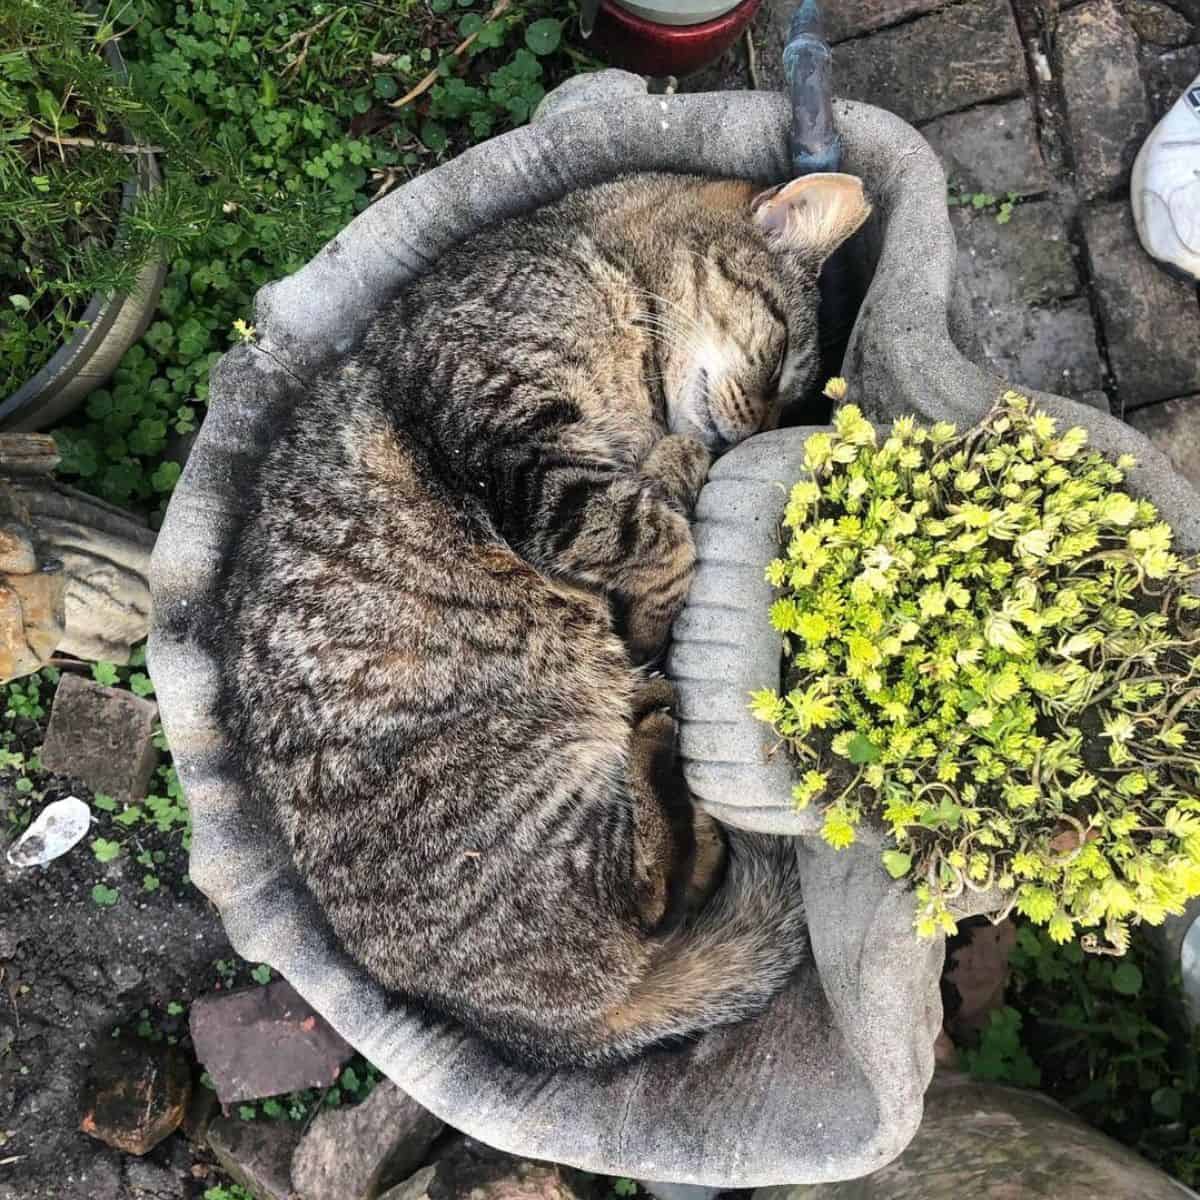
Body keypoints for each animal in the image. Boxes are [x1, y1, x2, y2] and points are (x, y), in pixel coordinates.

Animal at [216, 171, 873, 1070]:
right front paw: (656, 581)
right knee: (650, 897)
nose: (746, 436)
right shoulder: (519, 448)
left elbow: (654, 504)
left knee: (675, 890)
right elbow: (659, 537)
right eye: (777, 360)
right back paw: (656, 730)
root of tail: (547, 1032)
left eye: (788, 401)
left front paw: (673, 470)